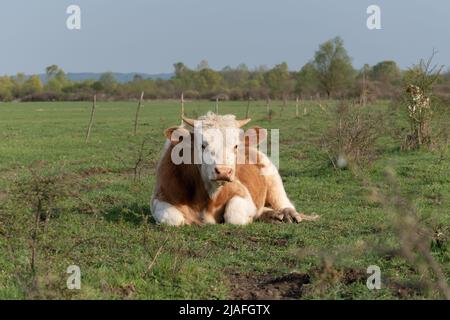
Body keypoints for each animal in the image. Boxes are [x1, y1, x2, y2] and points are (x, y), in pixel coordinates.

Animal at [150, 111, 316, 226]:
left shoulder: (243, 194)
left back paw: (287, 214)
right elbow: (174, 219)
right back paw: (273, 215)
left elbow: (234, 216)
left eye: (235, 146)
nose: (223, 171)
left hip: (274, 180)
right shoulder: (159, 197)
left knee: (284, 203)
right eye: (202, 145)